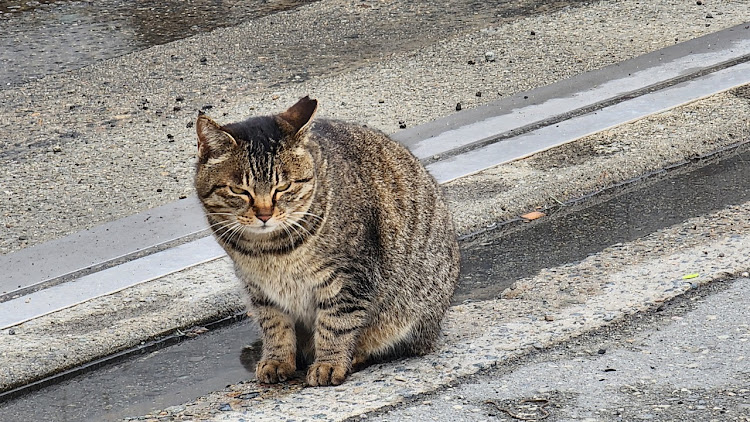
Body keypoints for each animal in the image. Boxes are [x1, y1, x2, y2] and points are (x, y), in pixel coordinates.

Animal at [194, 96, 462, 386]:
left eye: (283, 187)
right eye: (239, 190)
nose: (264, 214)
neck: (268, 250)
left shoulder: (349, 278)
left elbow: (335, 325)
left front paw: (329, 364)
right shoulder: (260, 291)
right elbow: (275, 327)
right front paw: (277, 360)